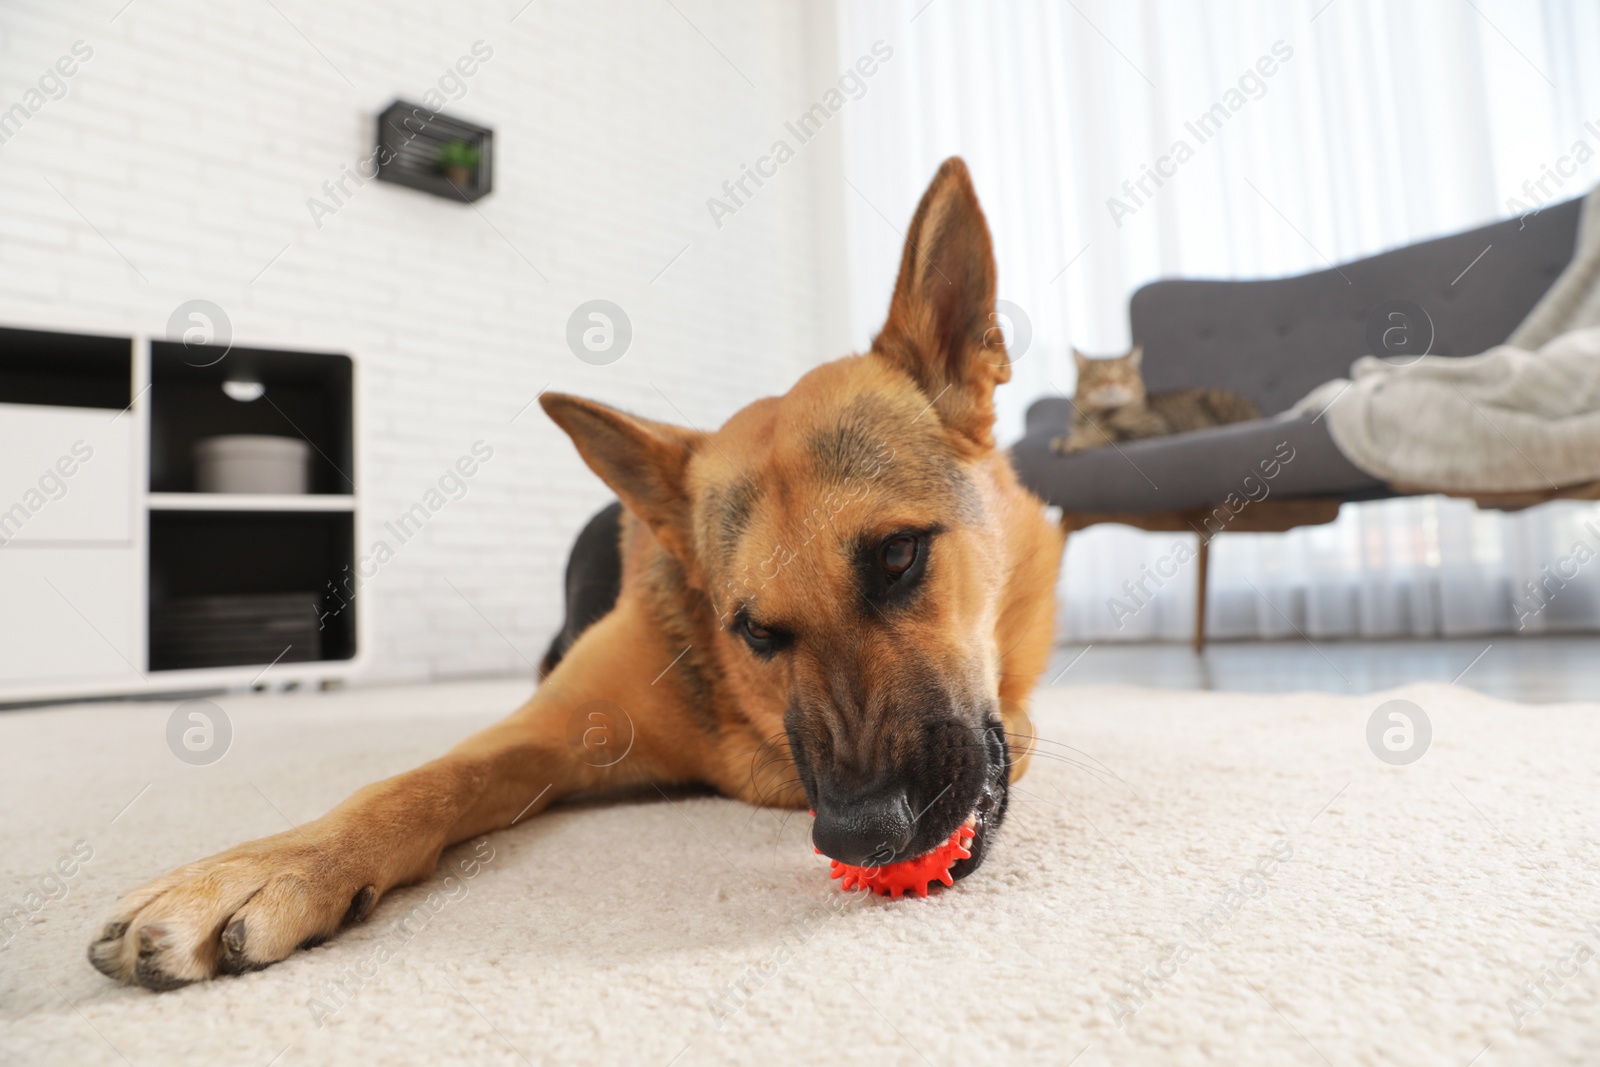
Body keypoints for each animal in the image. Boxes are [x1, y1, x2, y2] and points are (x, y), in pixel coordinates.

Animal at [84, 158, 1062, 991]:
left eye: (897, 555)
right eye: (752, 629)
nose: (864, 834)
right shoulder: (544, 730)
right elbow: (415, 783)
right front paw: (271, 864)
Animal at [1049, 347, 1260, 454]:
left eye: (1122, 373)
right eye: (1096, 374)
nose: (1110, 381)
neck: (1094, 414)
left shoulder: (1152, 430)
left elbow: (1104, 435)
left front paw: (1075, 442)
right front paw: (1068, 440)